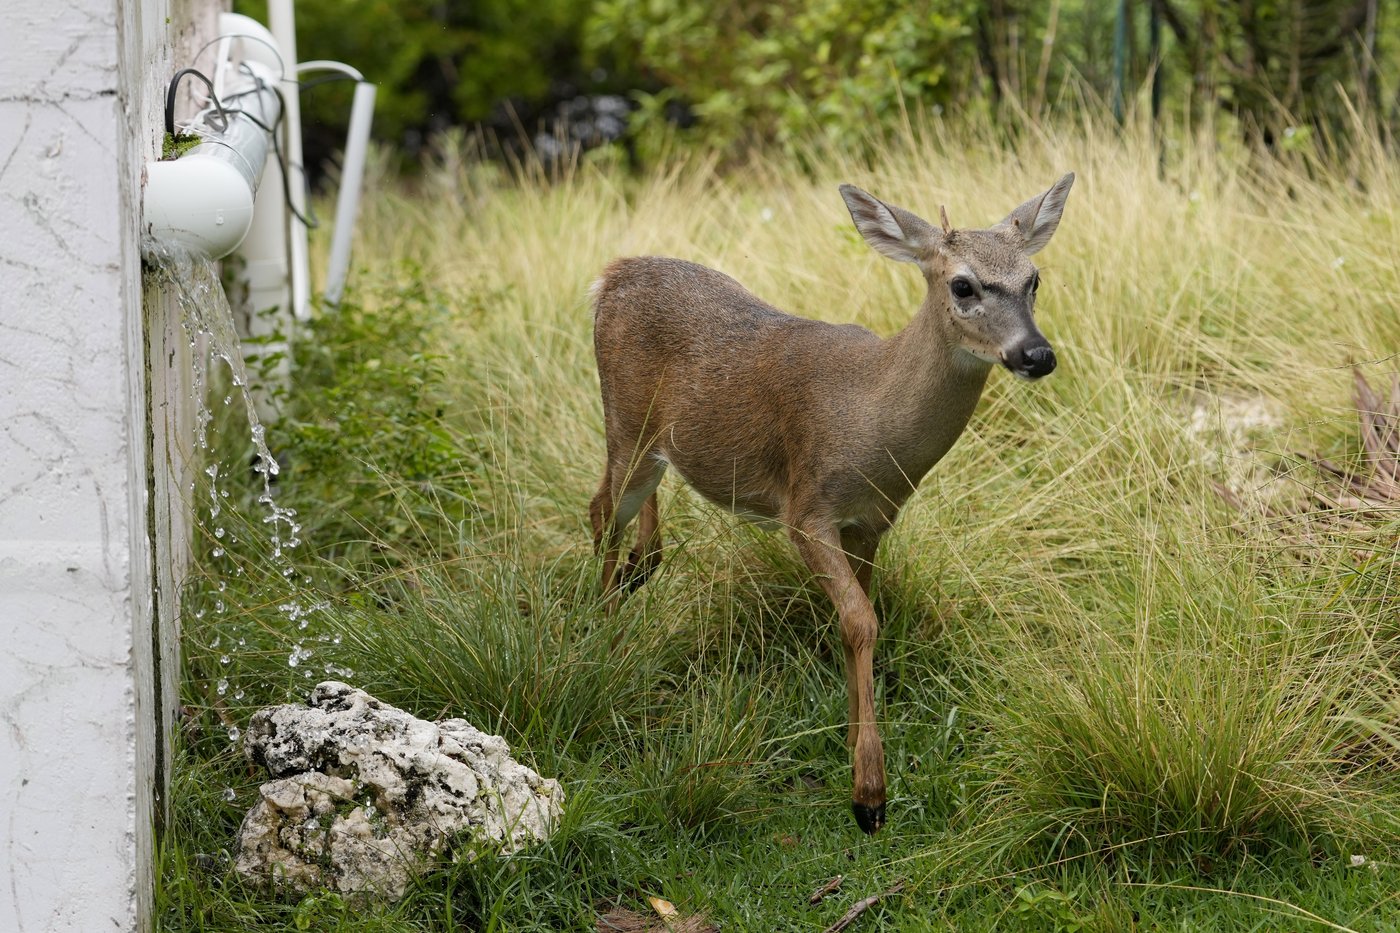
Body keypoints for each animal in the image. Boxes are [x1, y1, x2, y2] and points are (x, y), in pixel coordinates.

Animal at [588, 173, 1075, 834]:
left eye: (1034, 279)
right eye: (963, 284)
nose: (1036, 354)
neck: (874, 424)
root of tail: (609, 276)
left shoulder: (872, 521)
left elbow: (859, 619)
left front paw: (852, 740)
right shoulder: (808, 509)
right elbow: (860, 621)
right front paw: (869, 793)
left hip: (653, 441)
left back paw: (640, 572)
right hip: (626, 422)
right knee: (600, 510)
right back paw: (604, 641)